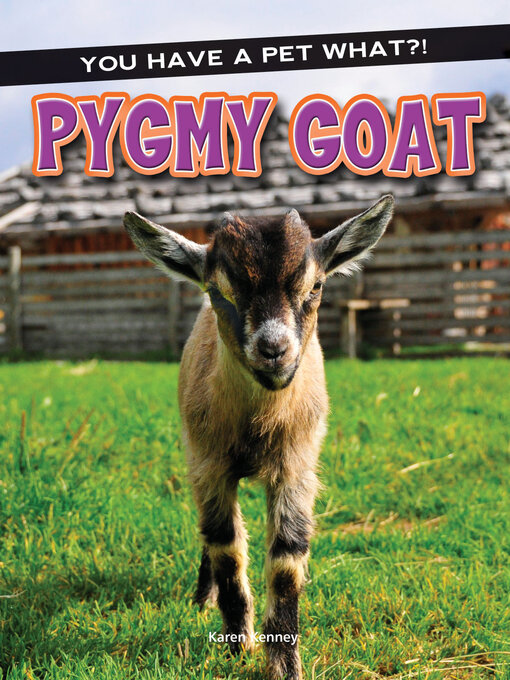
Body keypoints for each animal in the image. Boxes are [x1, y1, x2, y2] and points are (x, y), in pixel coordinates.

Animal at [124, 195, 394, 680]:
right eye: (218, 292)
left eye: (315, 286)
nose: (274, 350)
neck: (256, 427)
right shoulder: (209, 465)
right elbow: (226, 550)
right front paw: (237, 648)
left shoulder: (297, 467)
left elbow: (286, 561)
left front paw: (285, 666)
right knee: (211, 536)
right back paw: (202, 597)